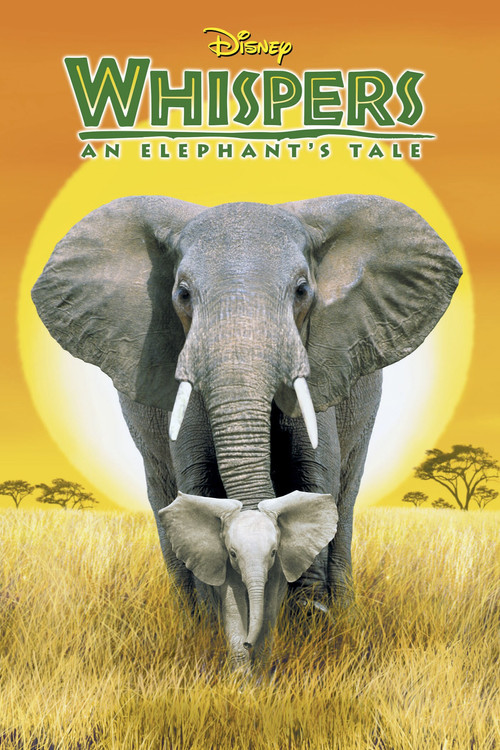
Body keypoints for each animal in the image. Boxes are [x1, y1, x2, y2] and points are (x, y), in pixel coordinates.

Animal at [31, 193, 462, 667]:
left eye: (302, 291)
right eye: (182, 294)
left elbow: (315, 481)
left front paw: (308, 628)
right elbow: (199, 490)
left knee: (345, 499)